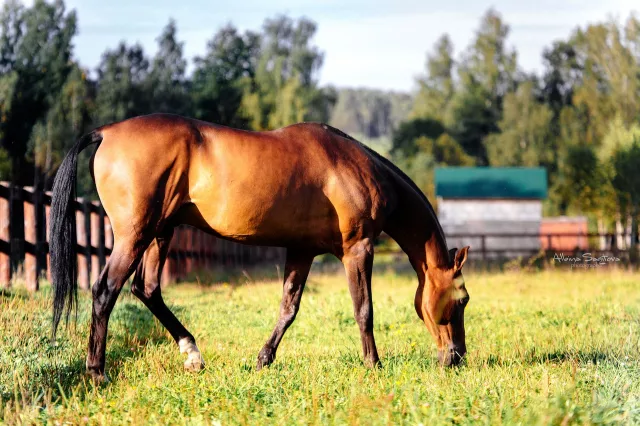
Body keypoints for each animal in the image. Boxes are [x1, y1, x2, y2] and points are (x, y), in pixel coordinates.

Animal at [48, 111, 470, 382]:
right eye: (463, 299)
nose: (457, 357)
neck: (349, 166)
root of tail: (106, 132)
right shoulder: (358, 249)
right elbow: (363, 310)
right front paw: (373, 365)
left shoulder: (302, 252)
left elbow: (288, 309)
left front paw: (263, 359)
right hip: (135, 234)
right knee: (106, 289)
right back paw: (97, 372)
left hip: (161, 232)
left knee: (146, 288)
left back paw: (192, 354)